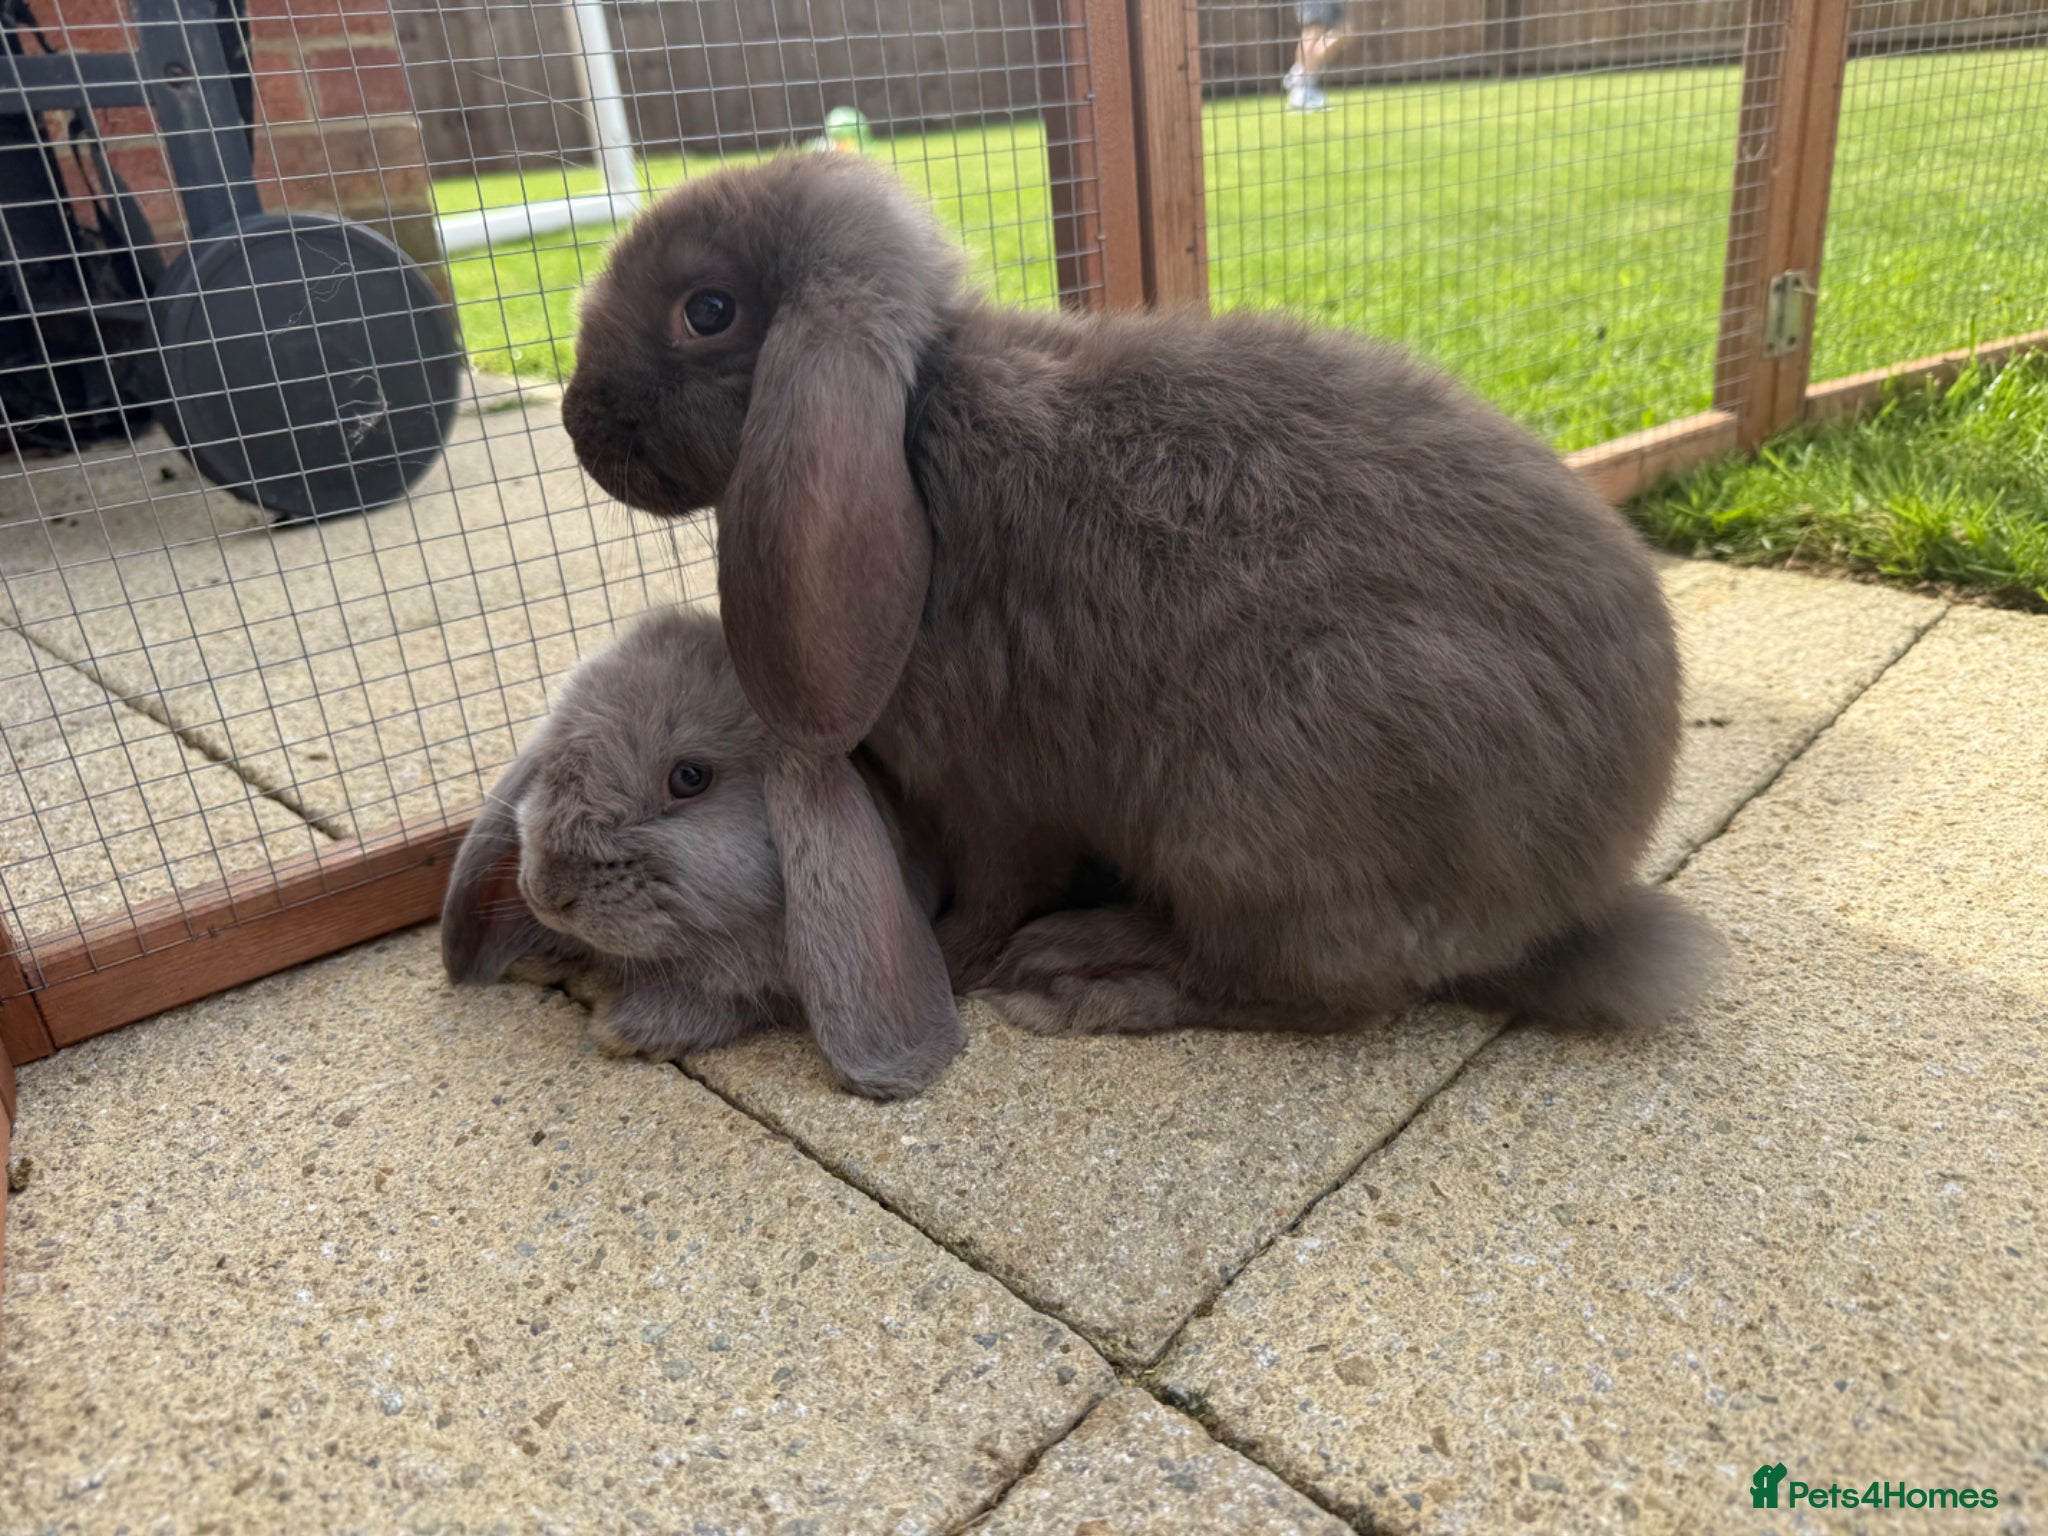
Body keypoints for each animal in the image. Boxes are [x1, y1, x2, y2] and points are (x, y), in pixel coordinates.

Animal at [559, 153, 1717, 1086]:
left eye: (707, 311)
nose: (575, 422)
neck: (915, 434)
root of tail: (1572, 898)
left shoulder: (992, 791)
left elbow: (995, 887)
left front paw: (956, 959)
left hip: (1268, 796)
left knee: (1309, 993)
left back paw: (1077, 977)